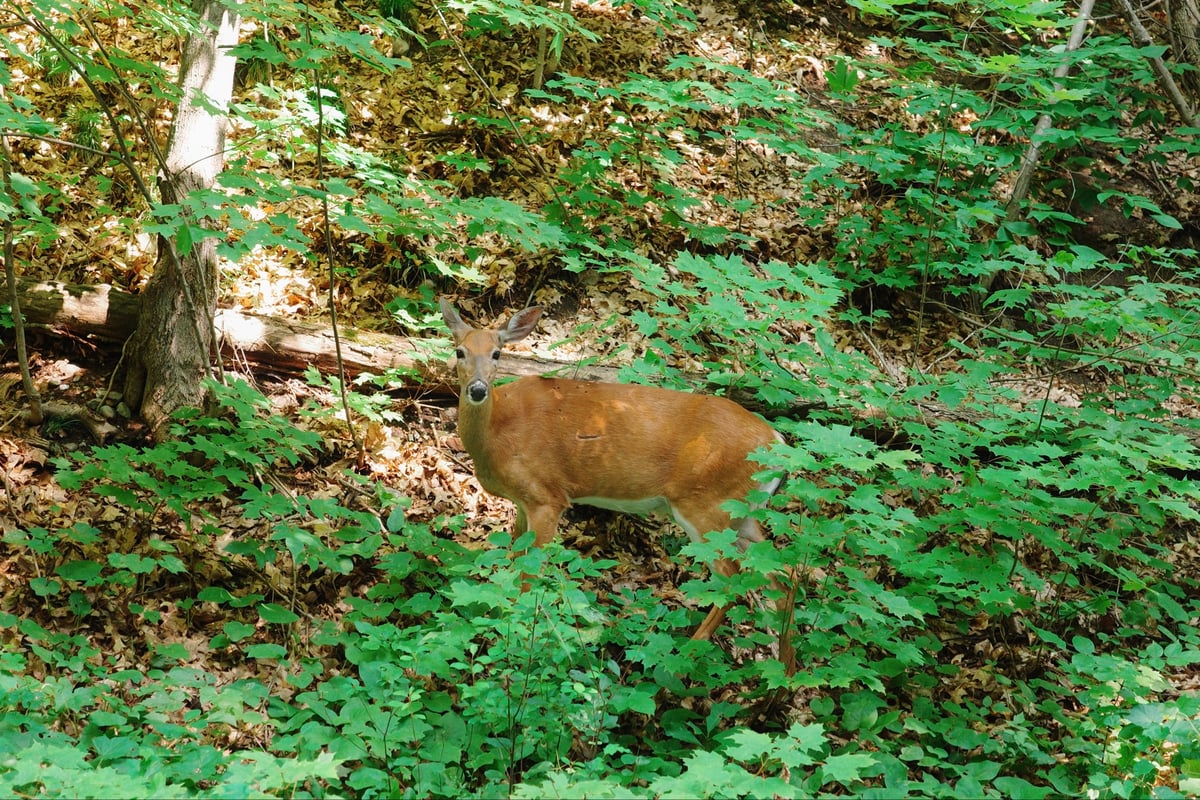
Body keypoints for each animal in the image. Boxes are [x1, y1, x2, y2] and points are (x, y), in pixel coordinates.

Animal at [440, 297, 793, 670]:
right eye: (460, 351)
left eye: (497, 353)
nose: (478, 389)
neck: (497, 434)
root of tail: (777, 442)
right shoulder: (523, 502)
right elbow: (512, 559)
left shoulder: (547, 496)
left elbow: (529, 575)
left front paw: (521, 639)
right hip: (743, 514)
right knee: (784, 579)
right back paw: (784, 674)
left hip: (708, 507)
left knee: (733, 581)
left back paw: (687, 652)